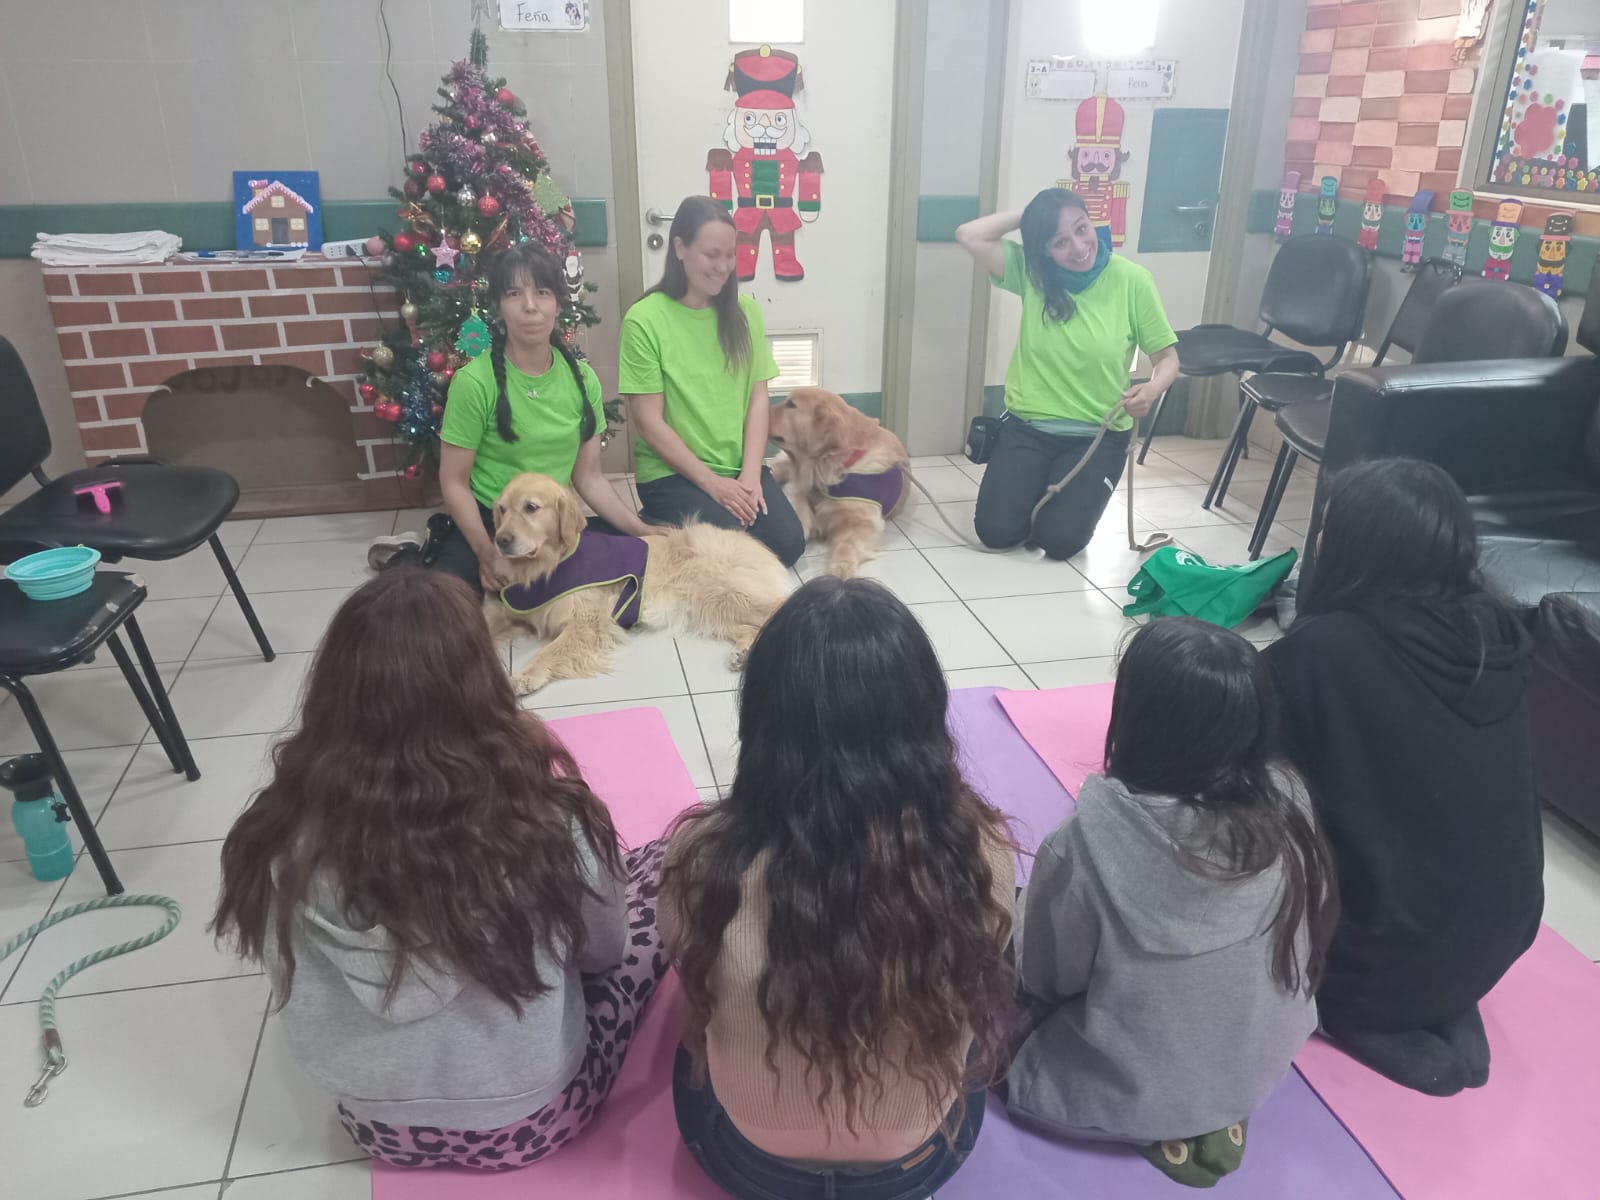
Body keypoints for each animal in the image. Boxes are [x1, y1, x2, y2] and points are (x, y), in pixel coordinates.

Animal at [483, 470, 790, 694]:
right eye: (502, 509)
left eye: (531, 507)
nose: (501, 540)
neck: (548, 565)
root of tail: (753, 542)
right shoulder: (509, 610)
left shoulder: (588, 622)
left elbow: (550, 650)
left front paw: (525, 676)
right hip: (709, 607)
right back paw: (743, 651)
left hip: (719, 591)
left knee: (776, 607)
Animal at [774, 382, 915, 576]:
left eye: (791, 405)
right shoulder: (798, 485)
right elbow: (799, 509)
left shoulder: (864, 521)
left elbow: (847, 543)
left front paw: (840, 567)